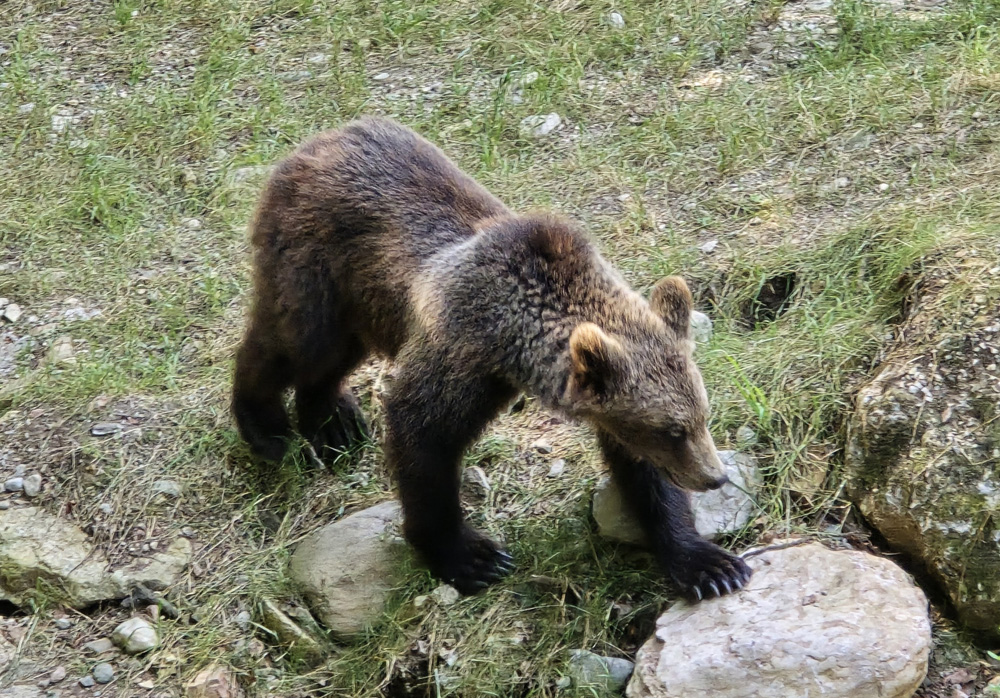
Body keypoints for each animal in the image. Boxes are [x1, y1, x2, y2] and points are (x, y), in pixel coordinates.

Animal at [234, 117, 752, 596]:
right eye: (672, 430)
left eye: (702, 417)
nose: (714, 477)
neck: (514, 341)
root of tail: (315, 142)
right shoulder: (462, 351)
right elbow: (423, 435)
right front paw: (469, 556)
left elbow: (644, 474)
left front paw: (708, 564)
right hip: (315, 264)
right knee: (292, 343)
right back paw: (267, 429)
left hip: (364, 296)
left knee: (332, 357)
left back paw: (333, 423)